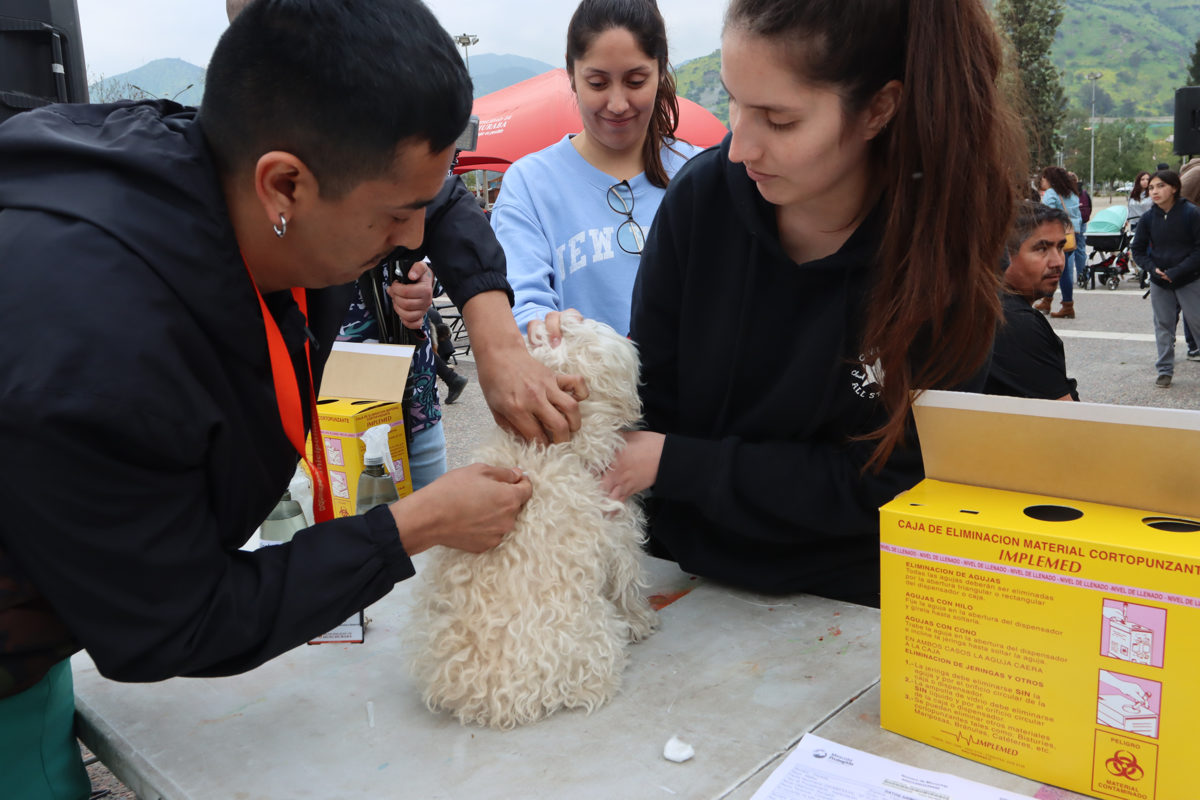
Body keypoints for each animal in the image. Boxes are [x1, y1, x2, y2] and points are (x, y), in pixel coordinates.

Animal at [410, 316, 657, 729]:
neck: (555, 446)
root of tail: (488, 701)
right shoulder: (618, 538)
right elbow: (626, 589)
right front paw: (641, 621)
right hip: (591, 639)